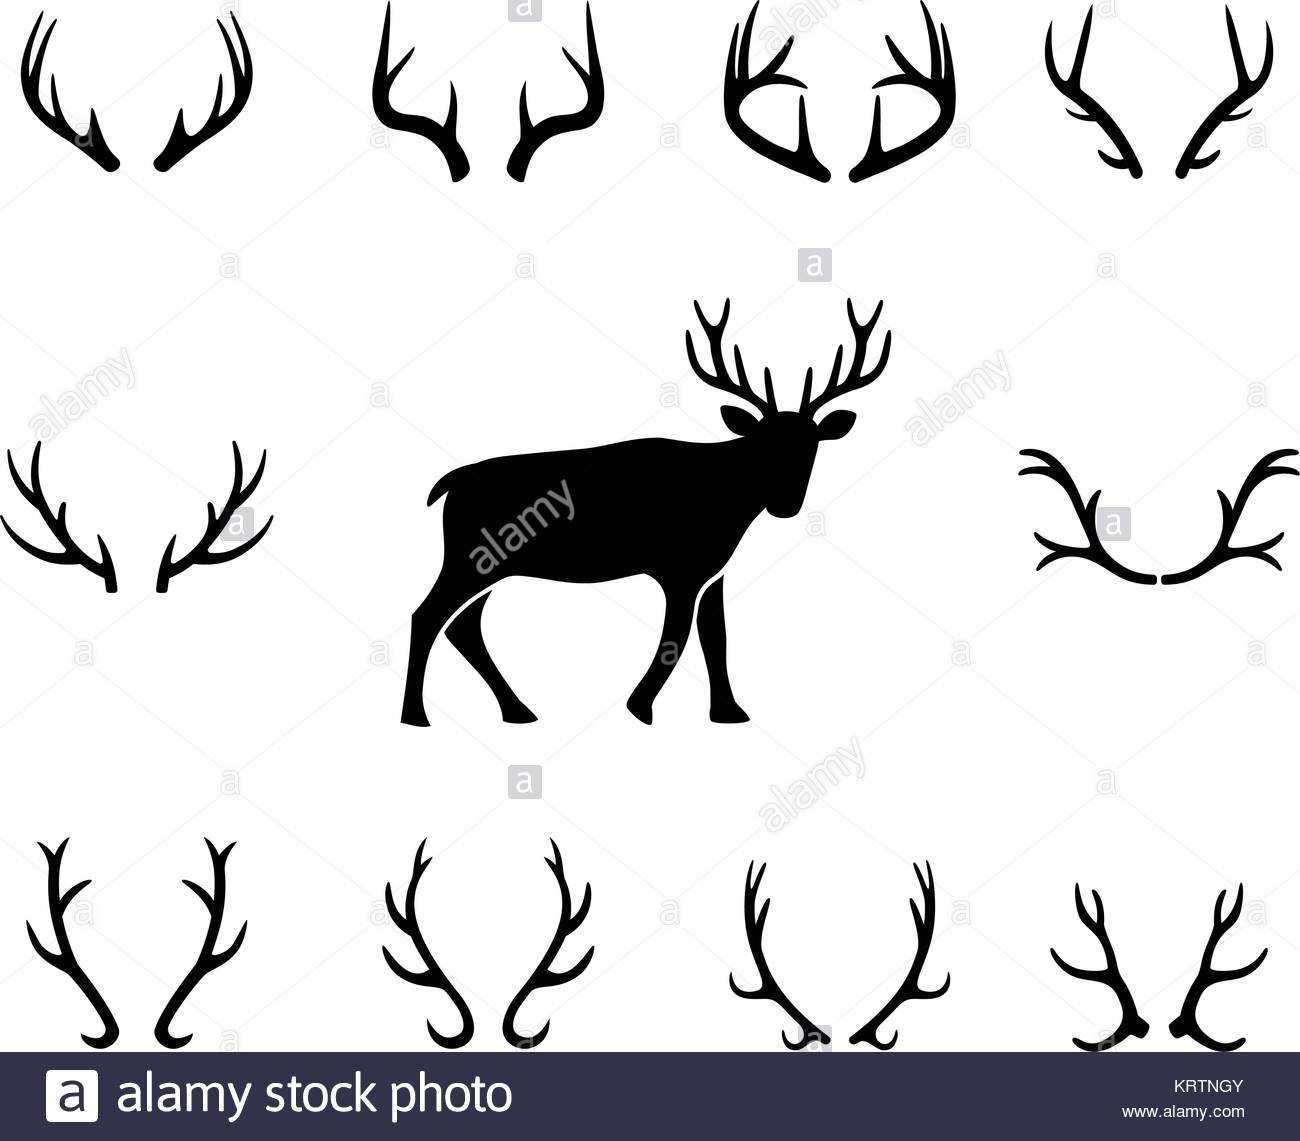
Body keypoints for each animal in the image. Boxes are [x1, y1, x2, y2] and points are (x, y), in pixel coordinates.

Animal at [400, 299, 891, 728]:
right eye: (761, 446)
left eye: (811, 447)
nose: (786, 504)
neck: (730, 502)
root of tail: (449, 484)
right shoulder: (680, 568)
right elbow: (677, 638)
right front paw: (640, 708)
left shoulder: (714, 572)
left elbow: (716, 638)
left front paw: (729, 712)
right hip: (469, 559)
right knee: (427, 616)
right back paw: (415, 716)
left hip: (494, 566)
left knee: (464, 625)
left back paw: (518, 710)